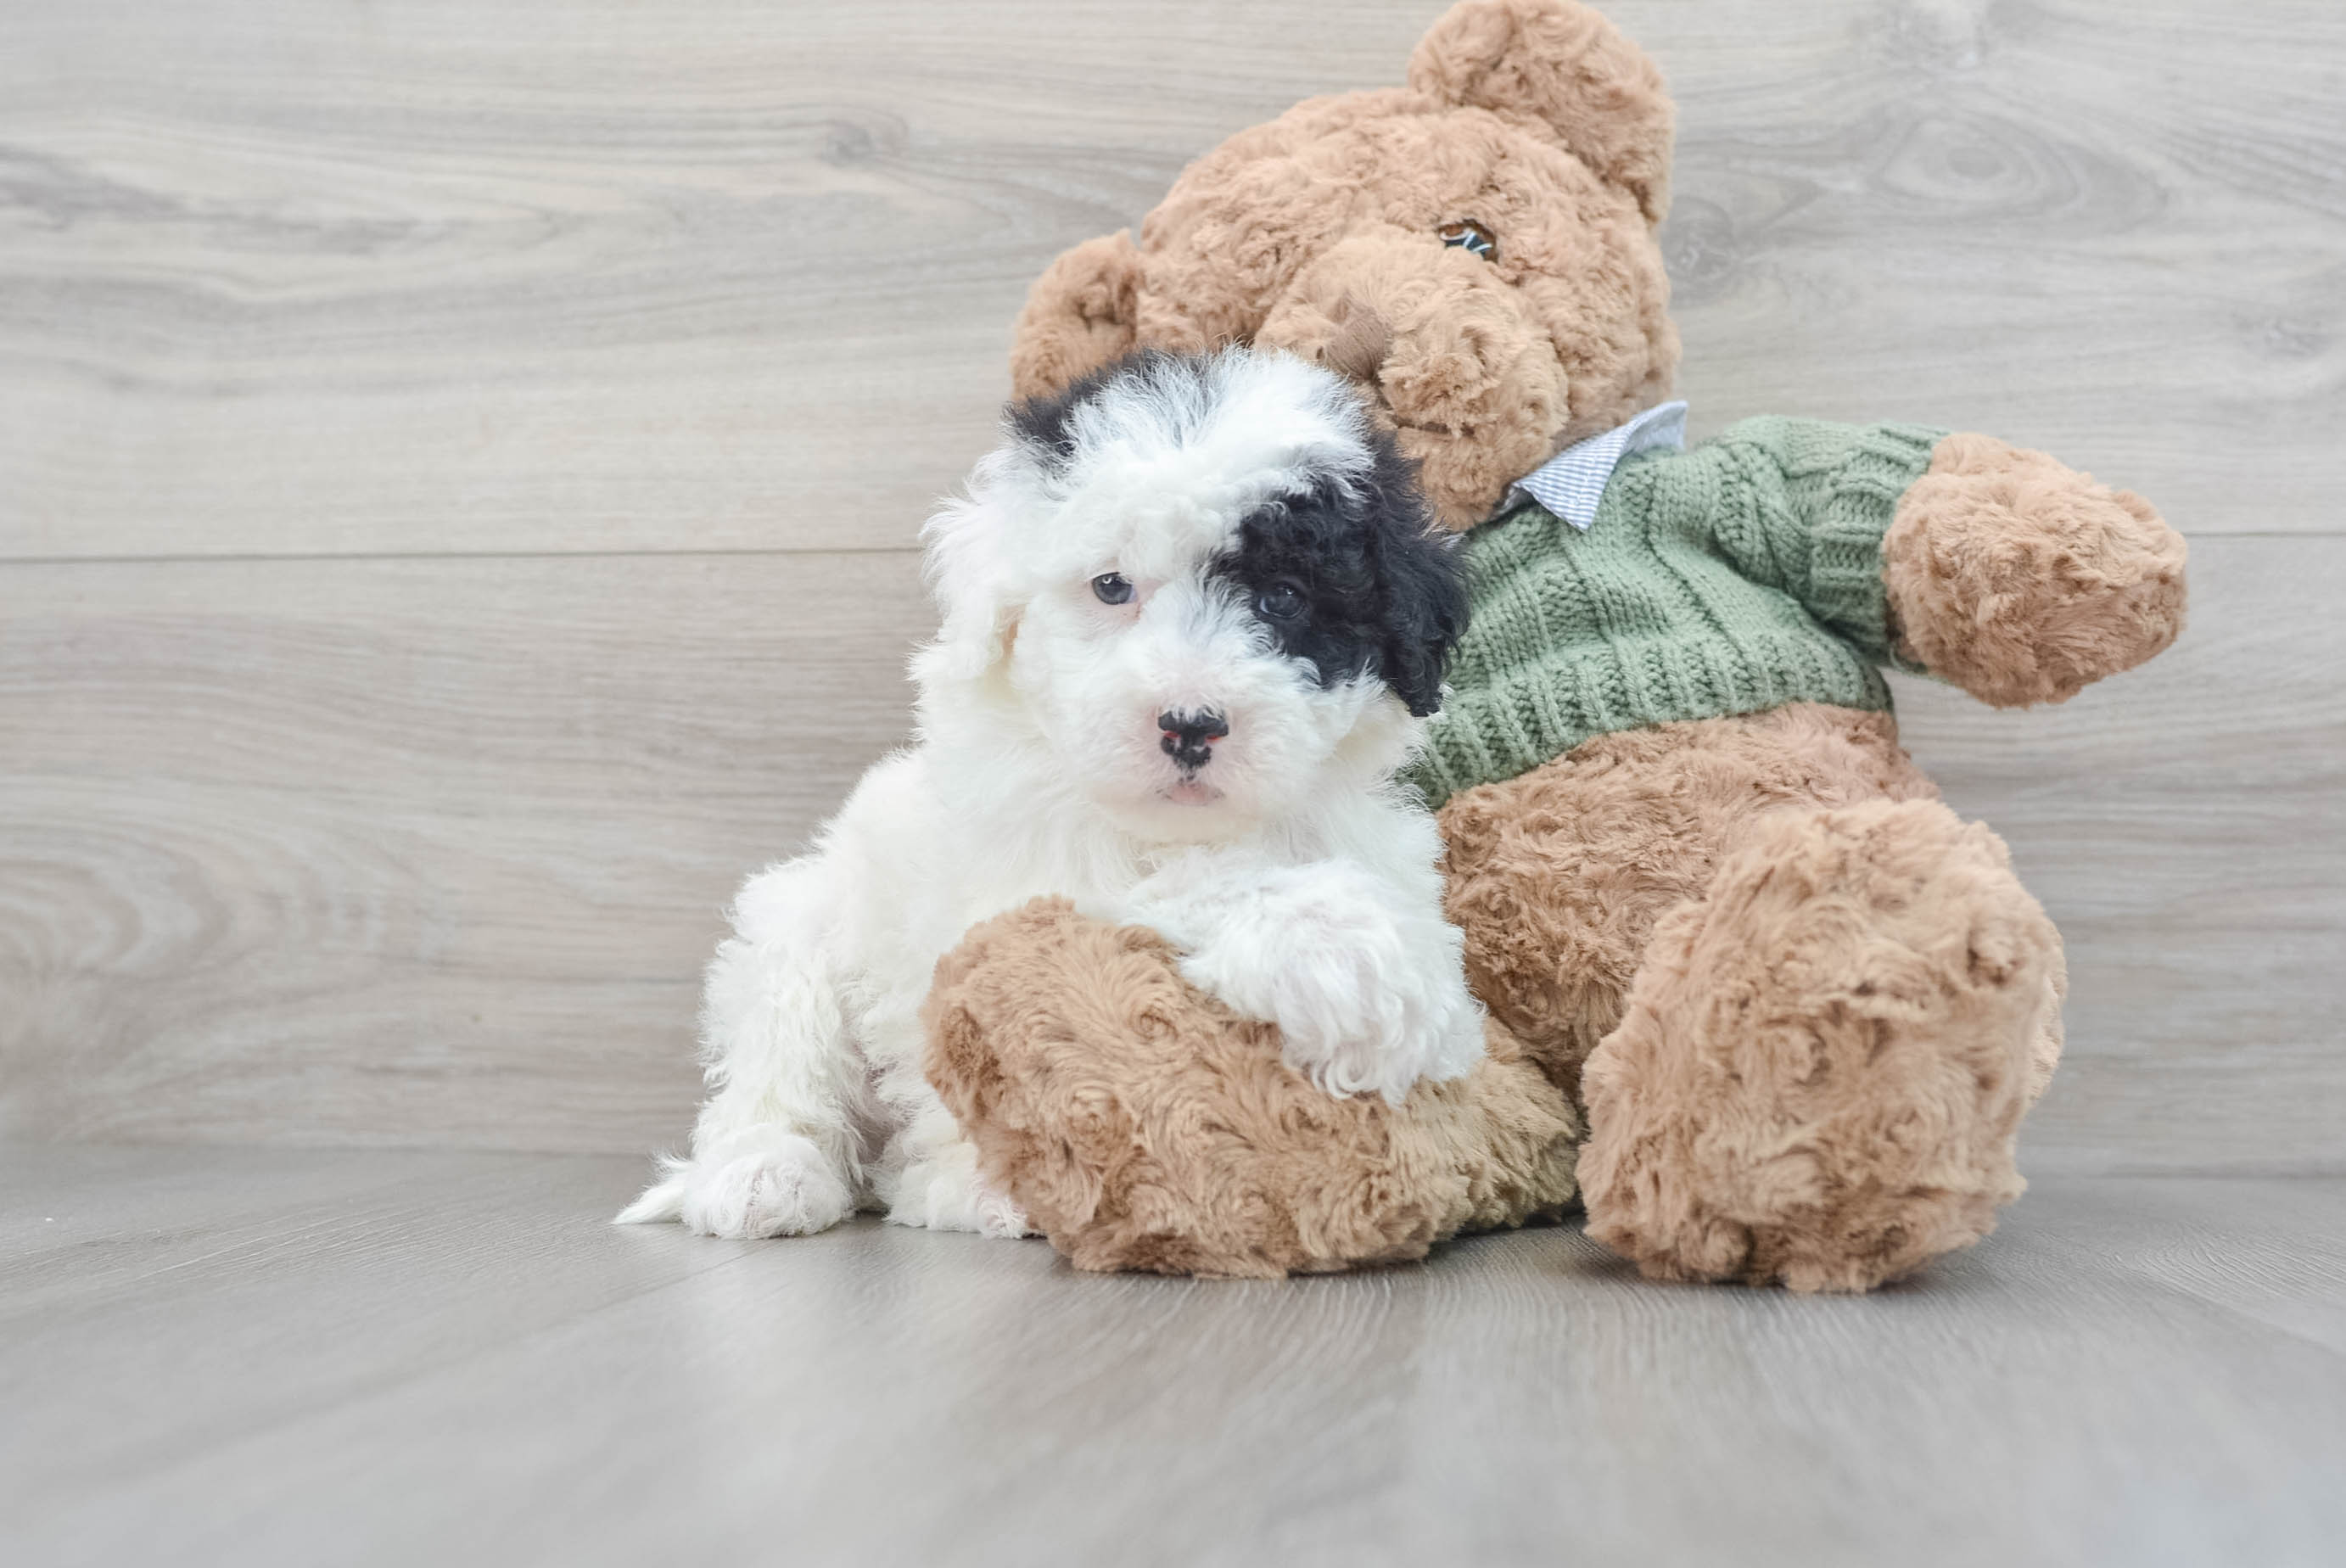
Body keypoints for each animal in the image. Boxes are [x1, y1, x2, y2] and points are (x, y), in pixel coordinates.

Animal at [614, 350, 1473, 1239]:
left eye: (1284, 598)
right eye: (1110, 586)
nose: (1189, 726)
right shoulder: (1036, 866)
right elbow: (1175, 889)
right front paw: (1352, 962)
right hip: (800, 927)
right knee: (780, 1059)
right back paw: (775, 1175)